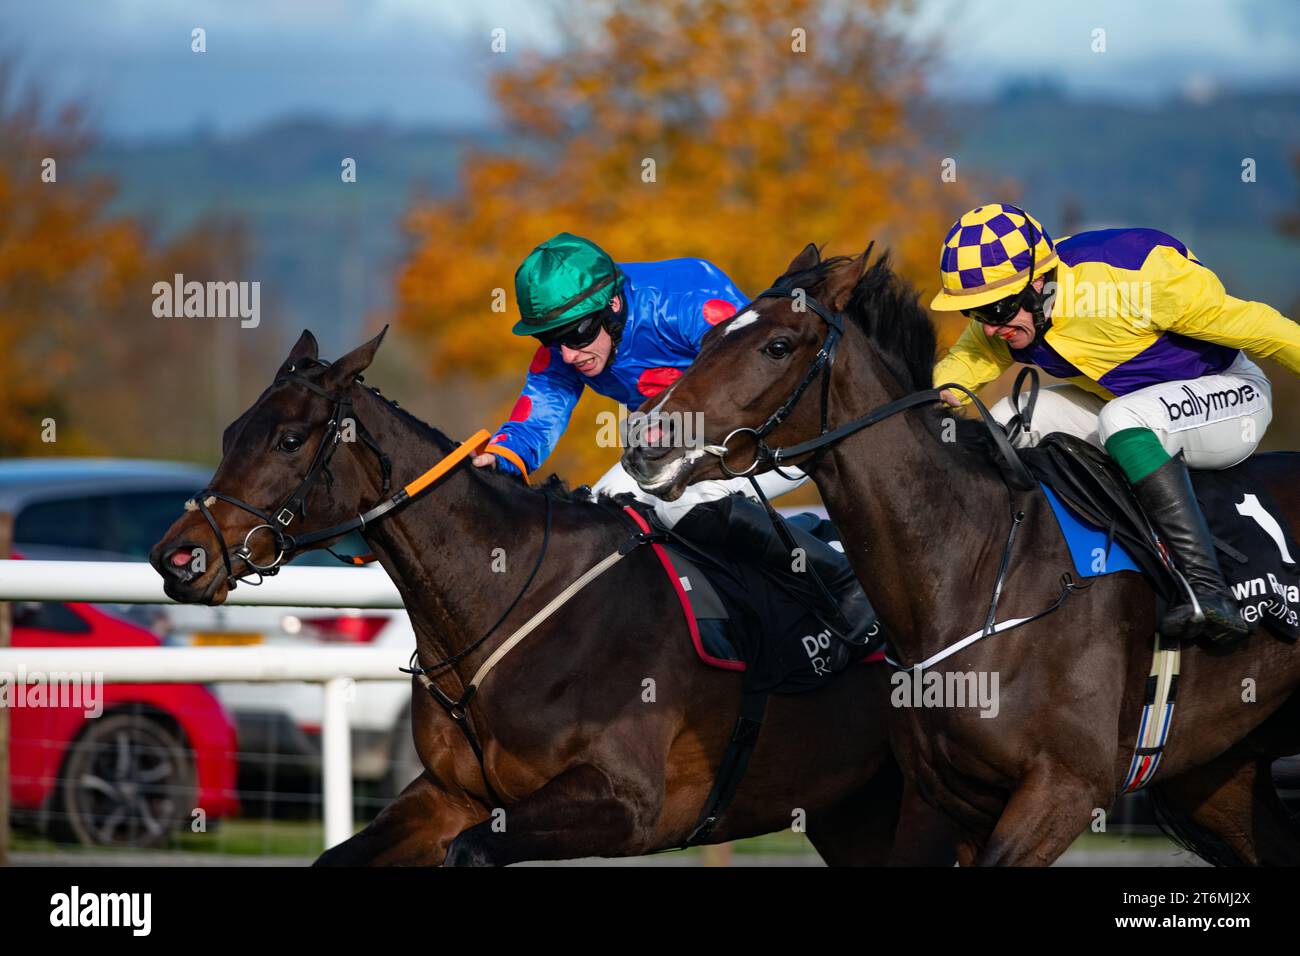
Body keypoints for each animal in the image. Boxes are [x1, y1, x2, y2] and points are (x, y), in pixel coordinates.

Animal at [621, 240, 1300, 868]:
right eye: (709, 336)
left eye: (778, 347)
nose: (646, 447)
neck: (976, 567)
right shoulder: (962, 802)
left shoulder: (1066, 788)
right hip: (1220, 773)